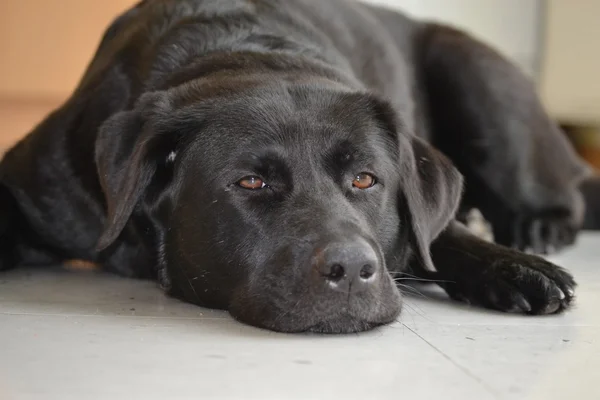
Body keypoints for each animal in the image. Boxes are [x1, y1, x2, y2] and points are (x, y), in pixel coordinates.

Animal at [0, 0, 596, 332]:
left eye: (365, 179)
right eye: (251, 181)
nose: (352, 270)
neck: (244, 48)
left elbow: (435, 233)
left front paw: (514, 267)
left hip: (476, 72)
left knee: (566, 194)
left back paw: (536, 229)